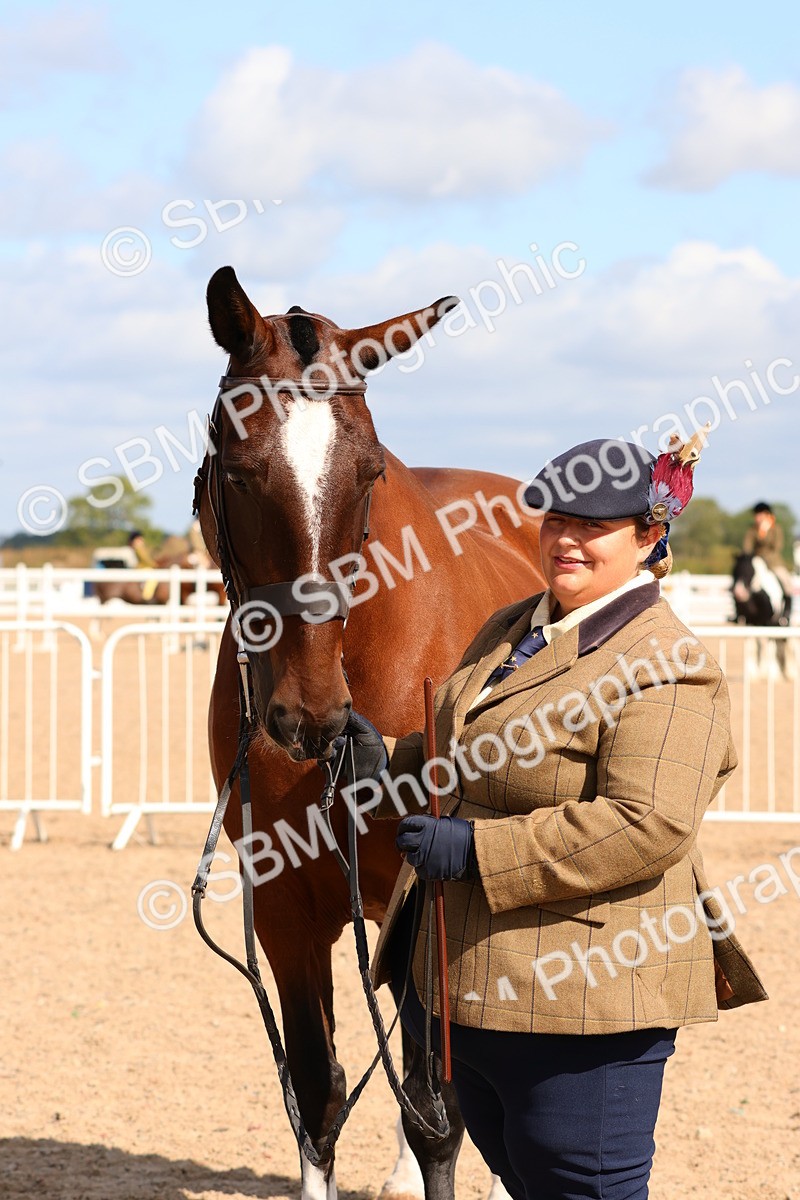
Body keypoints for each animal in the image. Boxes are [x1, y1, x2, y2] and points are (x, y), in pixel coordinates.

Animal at [197, 266, 545, 1200]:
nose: (308, 717)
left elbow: (439, 1113)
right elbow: (317, 1097)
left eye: (369, 471)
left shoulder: (441, 895)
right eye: (237, 471)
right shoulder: (284, 905)